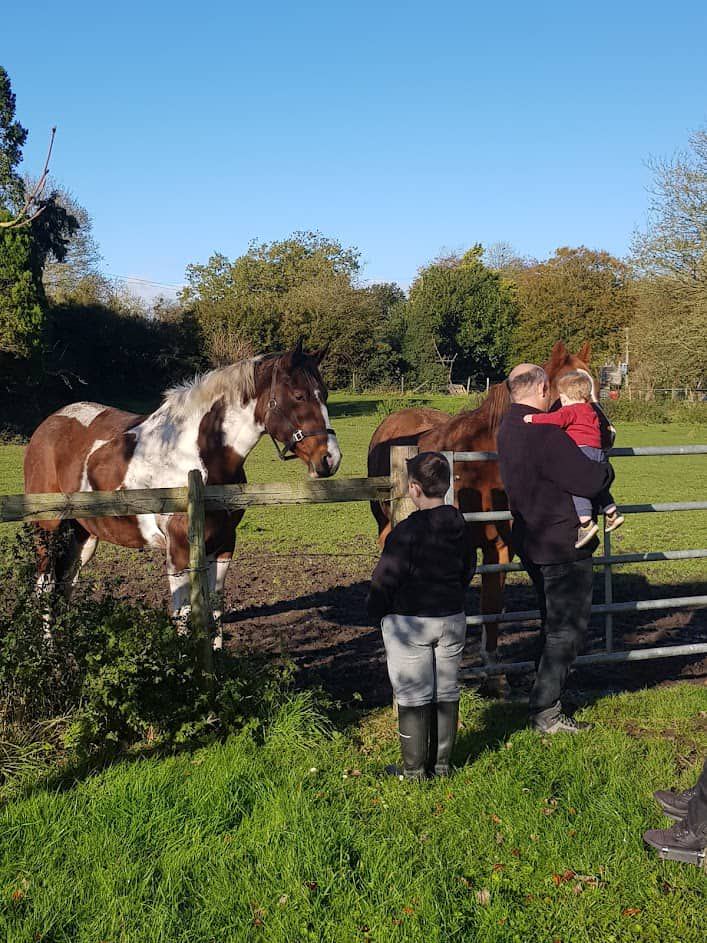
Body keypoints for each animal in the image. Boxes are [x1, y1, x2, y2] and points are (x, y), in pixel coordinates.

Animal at [24, 341, 342, 647]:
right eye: (299, 396)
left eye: (324, 394)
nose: (330, 459)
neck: (200, 455)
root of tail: (47, 425)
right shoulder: (177, 552)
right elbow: (183, 615)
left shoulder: (223, 545)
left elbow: (215, 608)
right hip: (47, 530)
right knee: (45, 586)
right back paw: (50, 652)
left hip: (84, 536)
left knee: (67, 584)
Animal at [367, 340, 594, 688]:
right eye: (568, 397)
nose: (605, 434)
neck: (481, 464)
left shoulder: (499, 548)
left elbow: (492, 605)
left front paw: (493, 673)